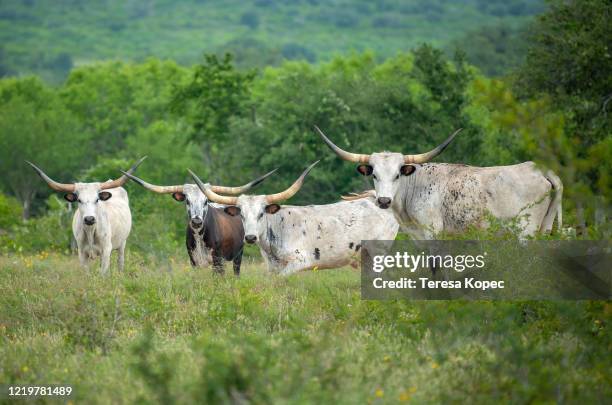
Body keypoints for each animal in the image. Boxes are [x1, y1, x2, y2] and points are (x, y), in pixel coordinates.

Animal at [121, 166, 278, 274]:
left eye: (206, 201)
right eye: (187, 201)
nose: (196, 222)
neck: (199, 237)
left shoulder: (217, 260)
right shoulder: (194, 261)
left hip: (237, 256)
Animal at [191, 161, 402, 274]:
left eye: (261, 213)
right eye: (241, 214)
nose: (250, 237)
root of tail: (377, 199)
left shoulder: (300, 262)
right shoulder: (272, 267)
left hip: (379, 251)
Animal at [318, 126, 568, 238]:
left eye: (398, 174)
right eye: (374, 175)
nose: (384, 201)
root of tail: (540, 169)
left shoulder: (433, 233)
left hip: (526, 231)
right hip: (545, 227)